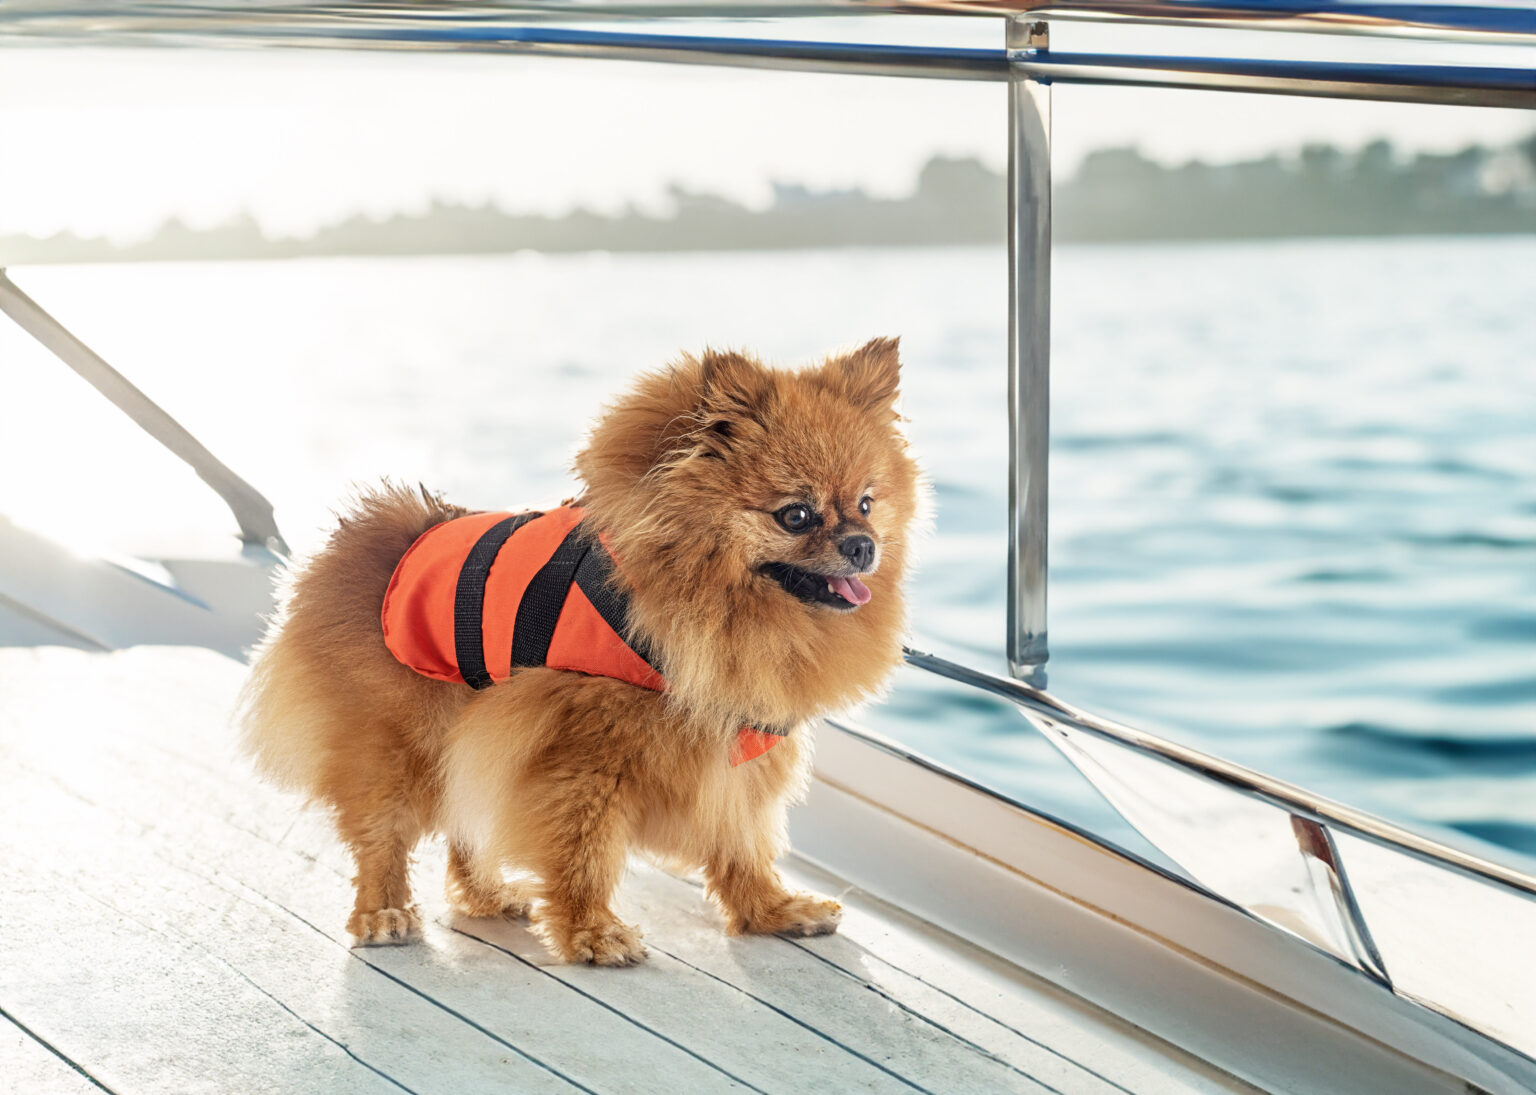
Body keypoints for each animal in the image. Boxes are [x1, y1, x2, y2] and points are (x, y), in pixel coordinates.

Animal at [233, 337, 915, 958]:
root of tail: (368, 538)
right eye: (795, 515)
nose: (862, 545)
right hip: (400, 742)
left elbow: (742, 836)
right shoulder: (583, 749)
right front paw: (592, 930)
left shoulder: (734, 744)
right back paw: (384, 911)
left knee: (465, 816)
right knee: (383, 831)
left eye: (866, 503)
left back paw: (484, 896)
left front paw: (770, 910)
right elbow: (583, 847)